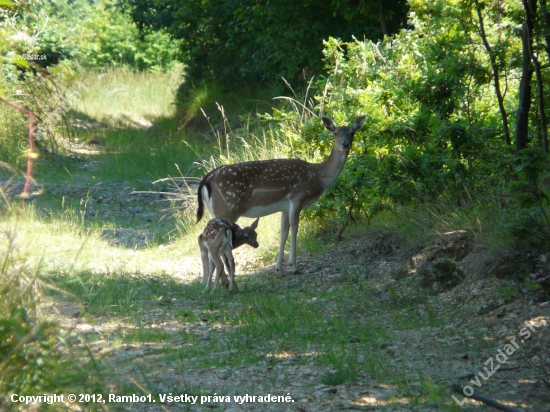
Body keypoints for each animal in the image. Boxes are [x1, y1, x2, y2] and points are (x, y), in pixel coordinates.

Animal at [197, 115, 366, 276]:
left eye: (352, 132)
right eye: (335, 133)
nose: (345, 144)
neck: (318, 177)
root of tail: (205, 180)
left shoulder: (284, 206)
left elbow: (284, 233)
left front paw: (279, 269)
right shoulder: (297, 197)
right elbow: (295, 230)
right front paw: (294, 267)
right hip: (227, 209)